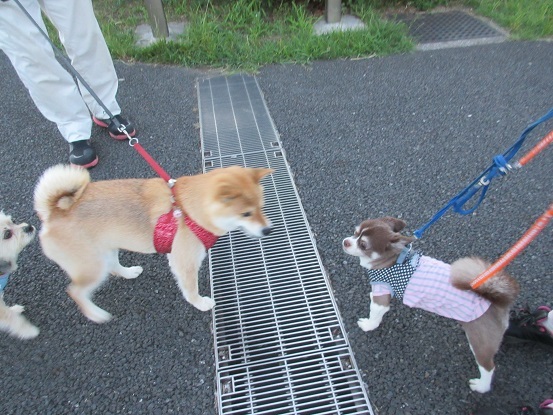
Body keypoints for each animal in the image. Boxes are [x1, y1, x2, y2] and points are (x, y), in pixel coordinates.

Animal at [34, 166, 272, 324]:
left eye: (262, 207)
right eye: (246, 214)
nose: (268, 230)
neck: (187, 210)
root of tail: (53, 213)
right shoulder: (185, 263)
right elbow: (191, 289)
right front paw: (200, 303)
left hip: (106, 250)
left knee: (113, 268)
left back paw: (129, 272)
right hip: (92, 266)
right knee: (75, 292)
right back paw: (96, 314)